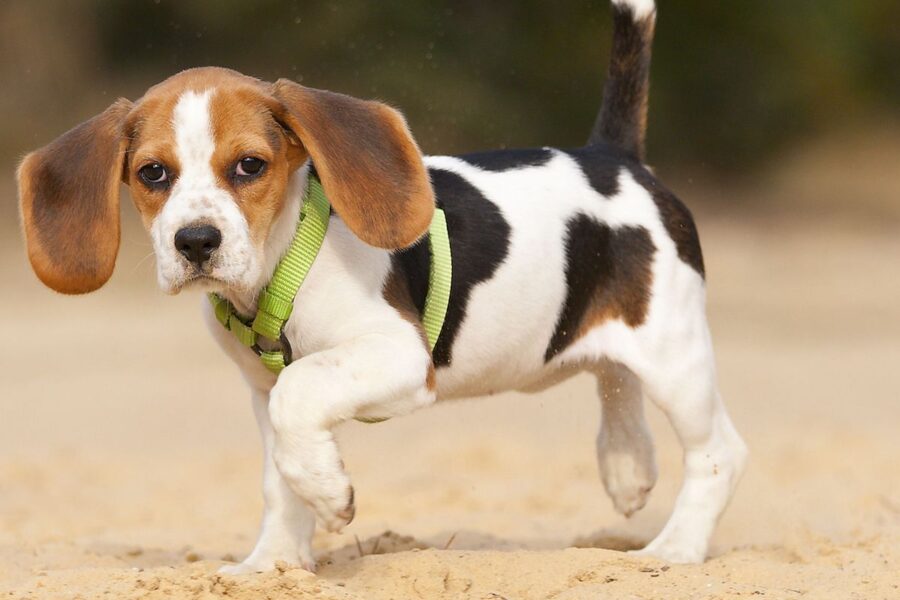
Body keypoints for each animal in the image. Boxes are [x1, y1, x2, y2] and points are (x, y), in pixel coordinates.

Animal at [15, 0, 744, 572]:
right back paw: (627, 465)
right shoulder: (260, 388)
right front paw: (273, 563)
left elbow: (301, 396)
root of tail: (614, 157)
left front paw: (329, 495)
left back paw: (675, 548)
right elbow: (280, 473)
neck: (281, 266)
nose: (195, 242)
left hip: (675, 353)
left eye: (249, 166)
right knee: (614, 379)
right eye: (152, 174)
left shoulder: (395, 357)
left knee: (718, 452)